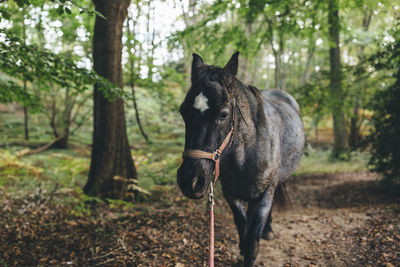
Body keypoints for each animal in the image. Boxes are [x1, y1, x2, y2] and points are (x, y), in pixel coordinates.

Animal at [177, 51, 304, 266]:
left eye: (223, 114)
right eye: (183, 111)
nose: (190, 180)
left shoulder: (263, 196)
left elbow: (252, 242)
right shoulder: (232, 195)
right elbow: (243, 230)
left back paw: (268, 231)